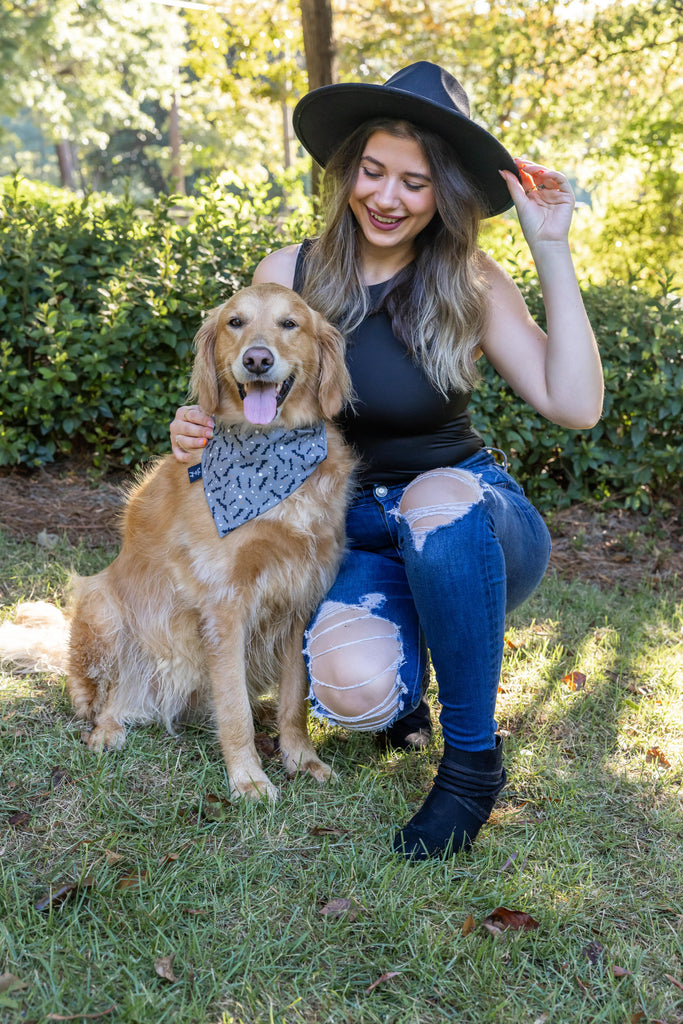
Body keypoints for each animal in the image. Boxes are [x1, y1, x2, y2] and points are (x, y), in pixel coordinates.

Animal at [0, 284, 355, 800]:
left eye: (290, 324)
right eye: (235, 322)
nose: (257, 360)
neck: (268, 452)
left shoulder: (298, 600)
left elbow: (294, 701)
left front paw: (302, 759)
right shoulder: (226, 605)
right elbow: (234, 710)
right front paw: (249, 780)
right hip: (101, 606)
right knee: (98, 700)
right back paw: (107, 730)